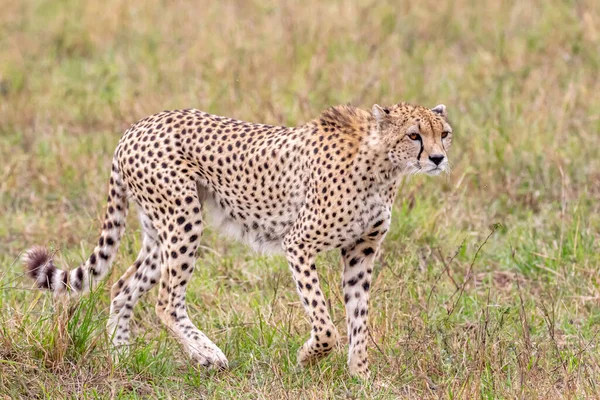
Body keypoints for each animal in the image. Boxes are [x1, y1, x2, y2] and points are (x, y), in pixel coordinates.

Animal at [24, 101, 454, 376]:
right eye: (414, 135)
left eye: (444, 134)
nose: (437, 158)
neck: (382, 165)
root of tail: (137, 126)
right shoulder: (299, 244)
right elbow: (326, 324)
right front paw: (308, 357)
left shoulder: (360, 253)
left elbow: (359, 317)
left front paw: (361, 377)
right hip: (184, 219)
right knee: (166, 300)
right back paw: (208, 356)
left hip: (159, 230)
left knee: (122, 286)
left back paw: (122, 358)